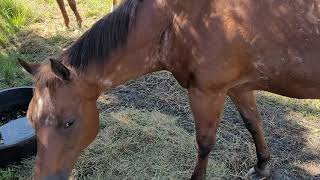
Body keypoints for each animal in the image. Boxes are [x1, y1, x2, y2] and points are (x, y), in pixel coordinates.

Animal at [18, 0, 320, 179]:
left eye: (68, 123)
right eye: (30, 121)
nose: (43, 178)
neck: (178, 19)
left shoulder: (207, 93)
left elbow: (205, 144)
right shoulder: (238, 88)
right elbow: (253, 123)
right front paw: (262, 166)